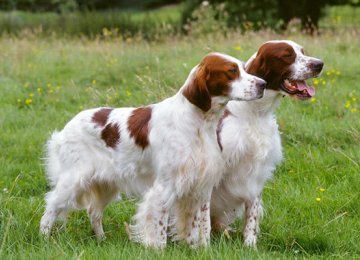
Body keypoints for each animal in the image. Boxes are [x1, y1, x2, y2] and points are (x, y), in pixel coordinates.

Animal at [40, 52, 268, 248]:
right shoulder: (164, 187)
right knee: (50, 207)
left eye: (243, 68)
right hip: (73, 180)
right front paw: (158, 249)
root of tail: (66, 128)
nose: (263, 84)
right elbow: (159, 228)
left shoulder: (202, 186)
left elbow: (202, 225)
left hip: (106, 184)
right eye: (231, 71)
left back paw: (101, 239)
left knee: (93, 212)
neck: (198, 123)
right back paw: (44, 240)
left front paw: (202, 249)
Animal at [211, 39, 324, 247]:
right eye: (287, 55)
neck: (255, 113)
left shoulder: (257, 172)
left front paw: (250, 245)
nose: (319, 64)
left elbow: (251, 216)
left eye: (303, 52)